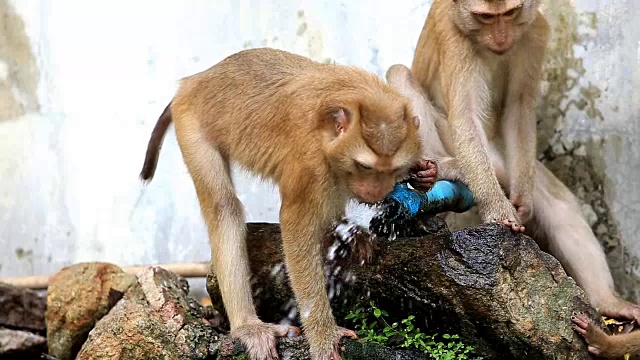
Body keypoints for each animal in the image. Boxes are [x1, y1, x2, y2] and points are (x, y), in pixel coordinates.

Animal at [139, 47, 424, 360]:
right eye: (365, 166)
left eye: (392, 169)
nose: (375, 192)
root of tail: (194, 81)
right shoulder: (310, 165)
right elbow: (295, 229)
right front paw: (324, 337)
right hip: (190, 123)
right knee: (224, 206)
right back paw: (248, 326)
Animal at [384, 0, 640, 324]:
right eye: (484, 17)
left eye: (510, 13)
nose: (501, 38)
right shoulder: (454, 39)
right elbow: (466, 115)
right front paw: (498, 210)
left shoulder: (535, 32)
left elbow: (519, 108)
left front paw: (523, 202)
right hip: (458, 145)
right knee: (399, 74)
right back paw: (442, 169)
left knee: (559, 203)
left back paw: (607, 303)